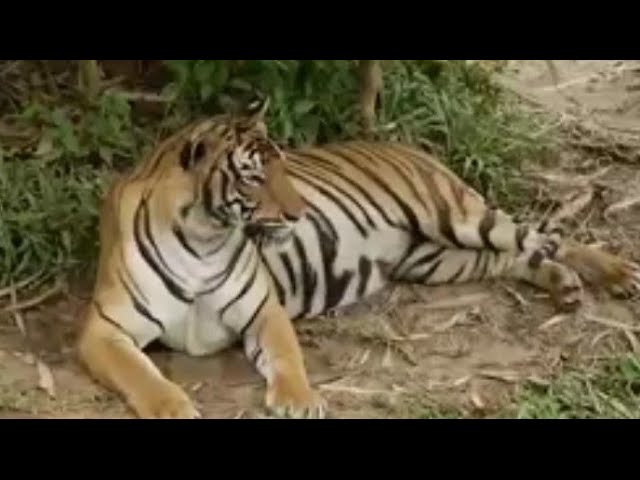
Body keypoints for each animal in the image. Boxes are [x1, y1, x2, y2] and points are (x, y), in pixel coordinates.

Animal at [77, 95, 640, 420]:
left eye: (283, 166)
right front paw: (172, 407)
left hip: (458, 216)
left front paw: (300, 402)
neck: (204, 237)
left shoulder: (263, 310)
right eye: (254, 177)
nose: (300, 212)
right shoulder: (104, 330)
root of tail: (412, 147)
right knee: (516, 256)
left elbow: (287, 356)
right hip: (438, 259)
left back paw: (616, 273)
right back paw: (565, 285)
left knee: (543, 236)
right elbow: (141, 374)